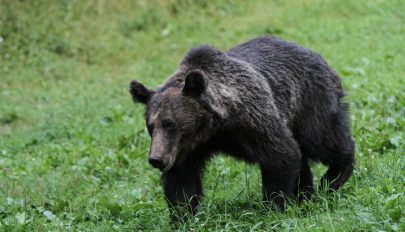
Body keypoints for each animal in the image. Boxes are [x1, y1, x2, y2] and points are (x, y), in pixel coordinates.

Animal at [129, 35, 354, 219]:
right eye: (150, 125)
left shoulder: (252, 119)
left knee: (323, 137)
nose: (156, 159)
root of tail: (314, 53)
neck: (212, 128)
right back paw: (305, 194)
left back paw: (333, 177)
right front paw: (182, 216)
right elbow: (181, 181)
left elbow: (281, 153)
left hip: (309, 100)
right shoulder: (187, 149)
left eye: (170, 124)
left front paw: (273, 206)